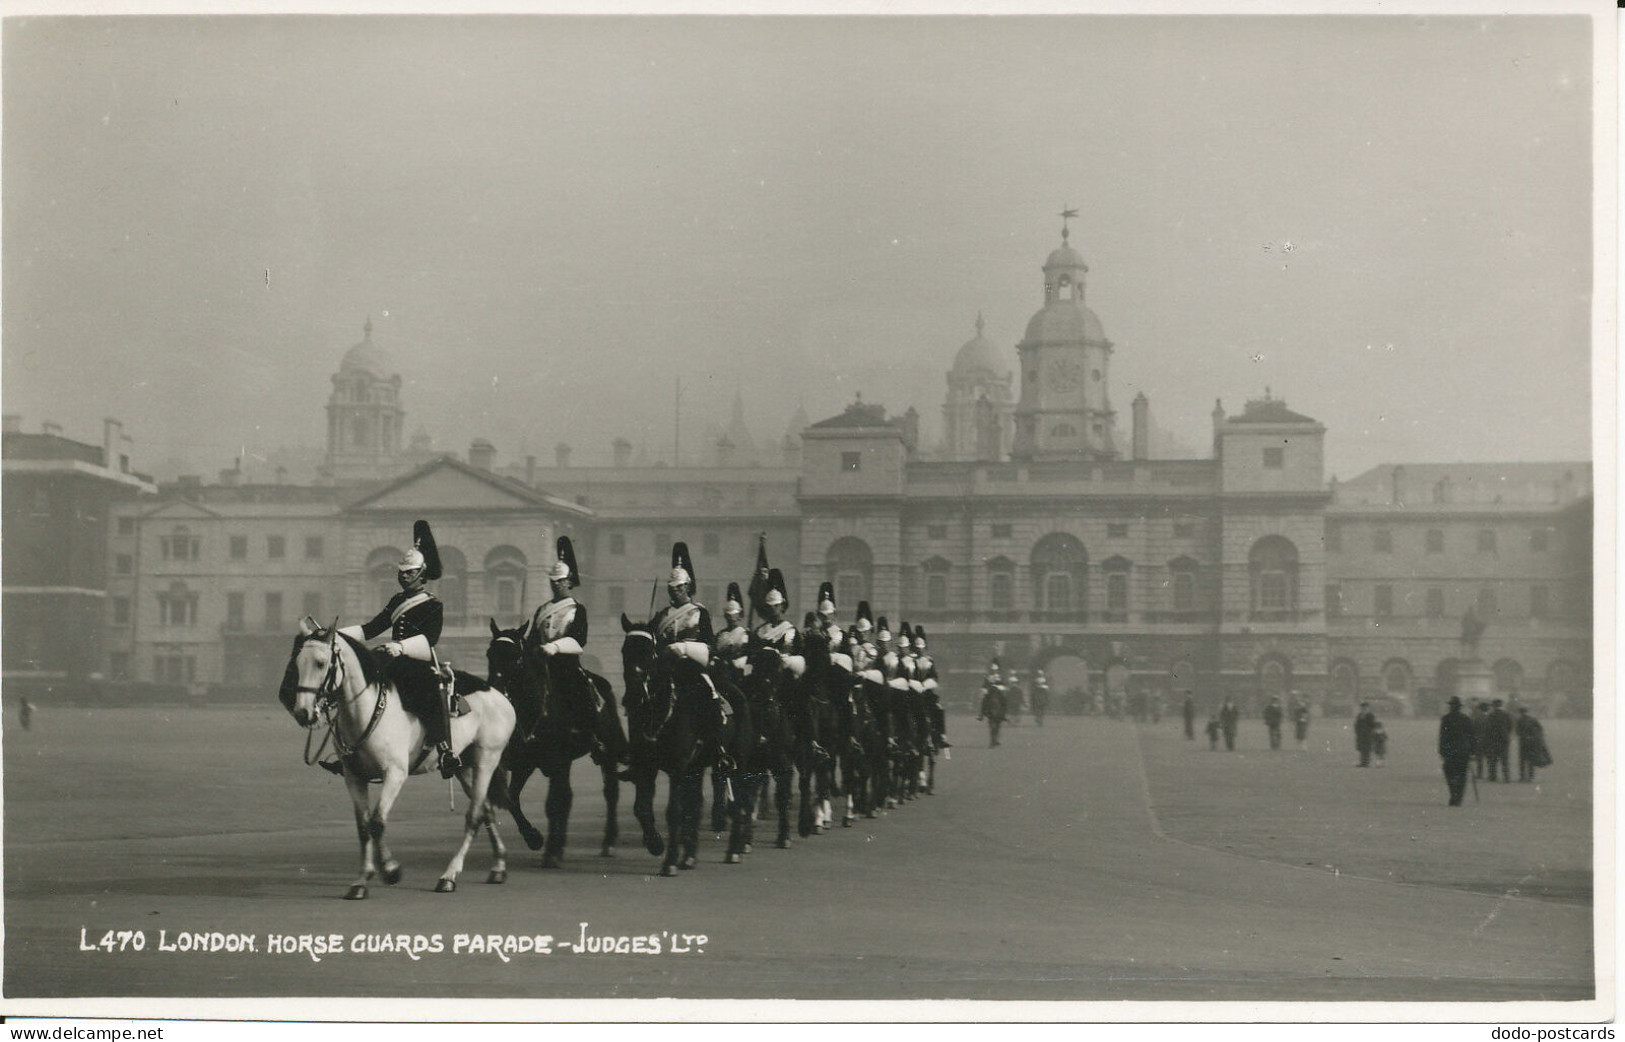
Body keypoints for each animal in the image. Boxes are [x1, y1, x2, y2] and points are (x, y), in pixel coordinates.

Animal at [282, 617, 516, 897]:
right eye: (298, 662)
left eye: (320, 663)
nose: (303, 712)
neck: (367, 711)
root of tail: (500, 696)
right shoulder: (354, 778)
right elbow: (363, 827)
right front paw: (361, 880)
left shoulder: (395, 774)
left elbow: (377, 822)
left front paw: (390, 869)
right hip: (464, 768)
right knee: (486, 811)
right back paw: (499, 865)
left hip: (485, 761)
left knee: (473, 817)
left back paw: (449, 875)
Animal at [481, 620, 627, 864]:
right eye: (490, 653)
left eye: (516, 657)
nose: (496, 692)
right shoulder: (524, 764)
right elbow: (512, 799)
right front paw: (534, 838)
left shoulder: (558, 761)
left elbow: (553, 803)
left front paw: (550, 850)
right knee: (568, 796)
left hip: (605, 753)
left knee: (610, 792)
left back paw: (608, 842)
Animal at [617, 614, 757, 871]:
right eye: (625, 650)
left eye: (649, 652)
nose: (633, 697)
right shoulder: (646, 766)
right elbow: (642, 808)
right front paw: (656, 844)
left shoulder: (677, 767)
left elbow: (674, 811)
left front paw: (669, 861)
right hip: (697, 766)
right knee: (697, 805)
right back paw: (690, 856)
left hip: (738, 763)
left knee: (739, 803)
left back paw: (733, 851)